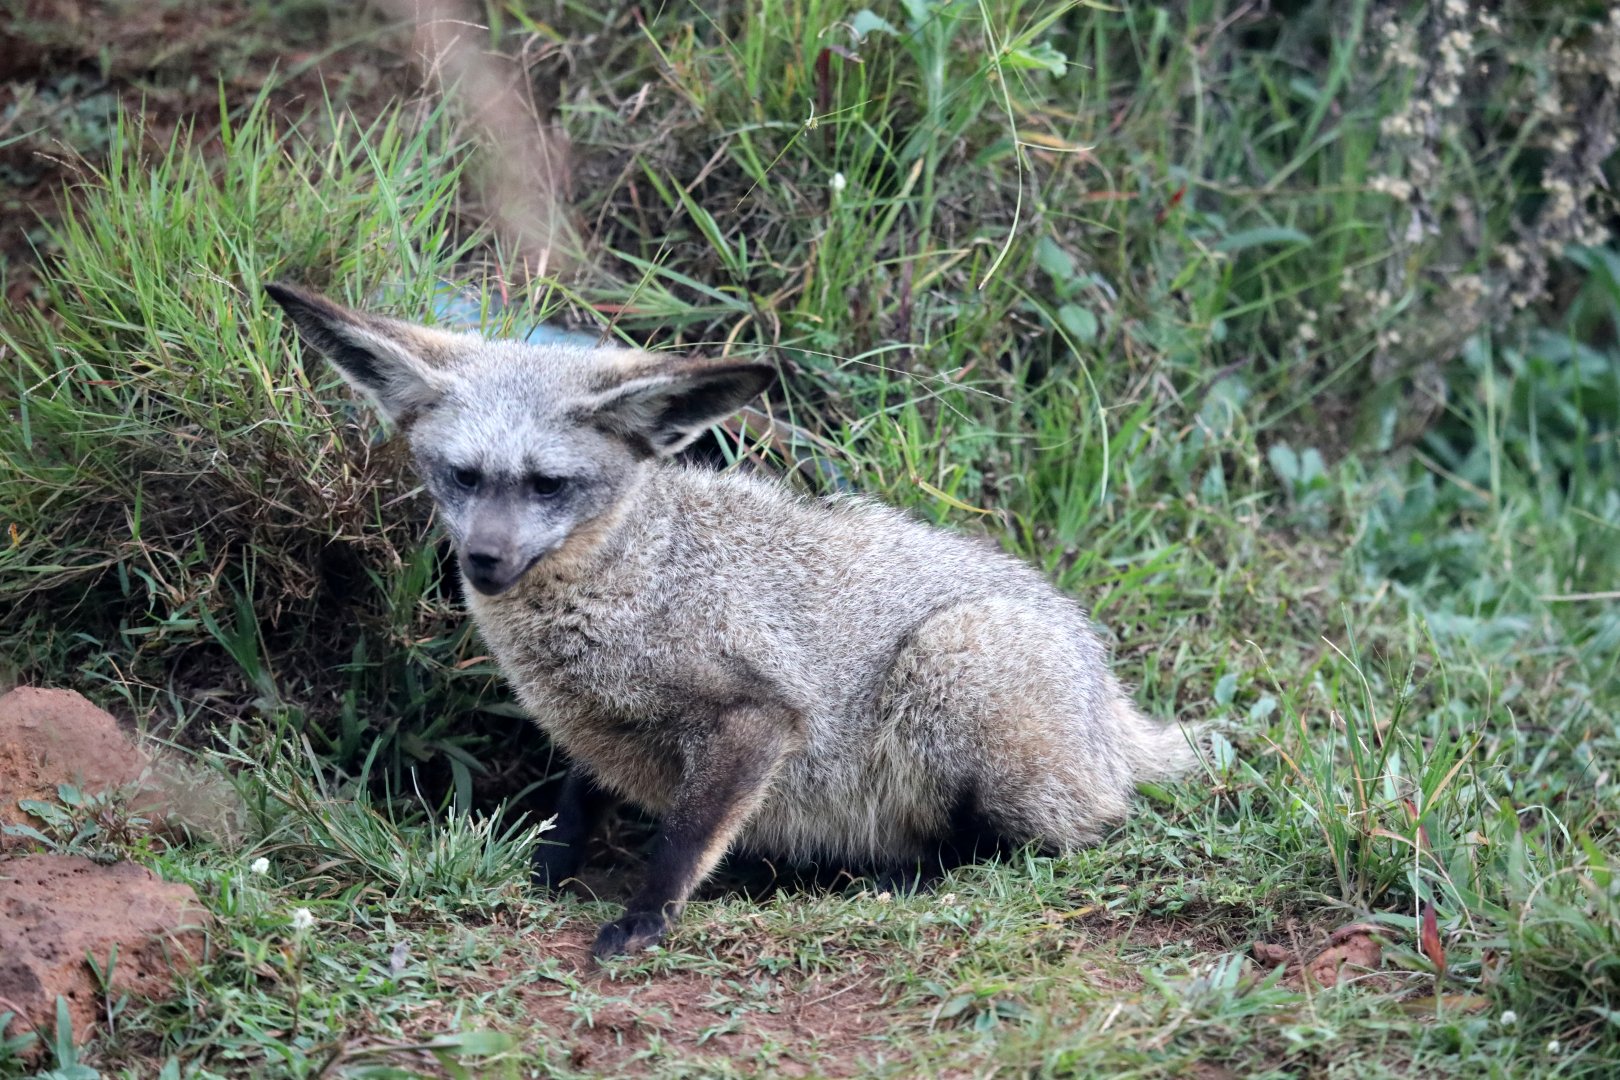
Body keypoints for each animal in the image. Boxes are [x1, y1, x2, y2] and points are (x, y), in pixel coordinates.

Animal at [265, 282, 1198, 959]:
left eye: (547, 485)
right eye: (460, 475)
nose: (484, 563)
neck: (636, 581)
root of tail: (1115, 704)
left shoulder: (758, 715)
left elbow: (684, 838)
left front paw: (644, 919)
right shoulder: (597, 731)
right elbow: (572, 803)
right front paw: (547, 872)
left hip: (952, 666)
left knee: (1049, 842)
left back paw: (896, 880)